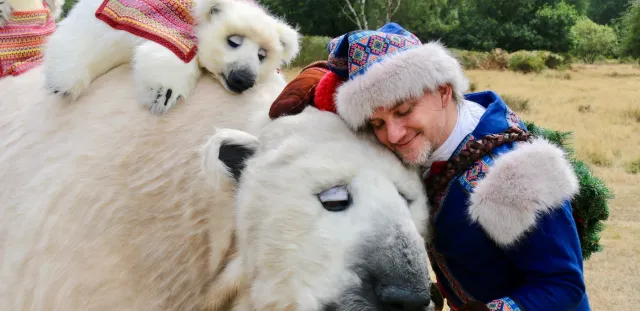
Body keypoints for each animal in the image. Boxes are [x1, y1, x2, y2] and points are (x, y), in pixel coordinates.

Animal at [43, 0, 298, 114]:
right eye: (234, 40)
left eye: (262, 55)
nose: (243, 79)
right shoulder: (166, 23)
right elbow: (171, 52)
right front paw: (162, 94)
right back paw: (62, 81)